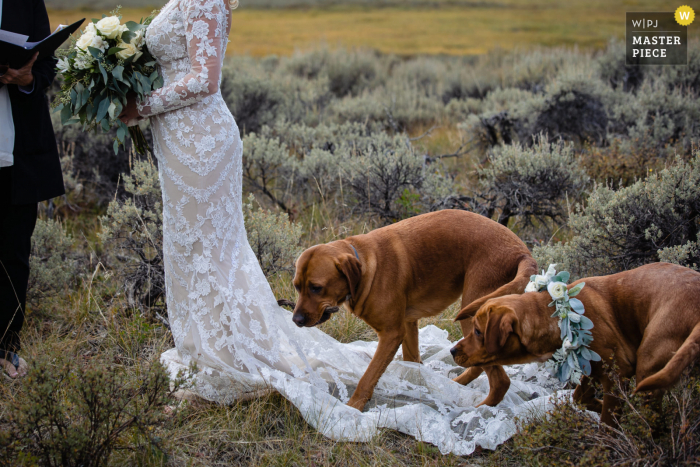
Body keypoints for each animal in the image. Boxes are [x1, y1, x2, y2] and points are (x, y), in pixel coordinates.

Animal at [290, 210, 536, 412]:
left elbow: (368, 377)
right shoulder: (408, 326)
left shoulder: (391, 334)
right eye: (297, 286)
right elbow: (412, 364)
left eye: (316, 288)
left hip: (475, 315)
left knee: (501, 382)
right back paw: (456, 387)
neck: (367, 265)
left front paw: (353, 408)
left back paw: (476, 411)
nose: (296, 320)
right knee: (479, 367)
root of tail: (522, 252)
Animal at [452, 264, 700, 424]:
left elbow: (607, 422)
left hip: (649, 365)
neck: (553, 315)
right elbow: (580, 397)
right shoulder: (591, 368)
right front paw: (597, 405)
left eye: (477, 331)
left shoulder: (616, 373)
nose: (452, 350)